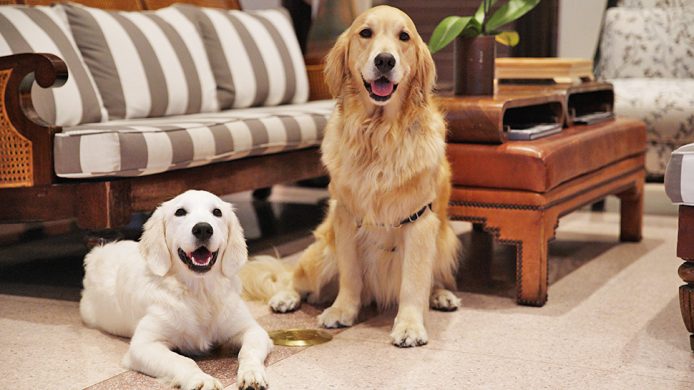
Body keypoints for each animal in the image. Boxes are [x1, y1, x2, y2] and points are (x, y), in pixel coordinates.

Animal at [81, 190, 272, 388]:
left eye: (217, 212)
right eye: (180, 212)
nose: (203, 229)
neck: (199, 292)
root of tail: (99, 250)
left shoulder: (252, 330)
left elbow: (248, 351)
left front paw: (252, 373)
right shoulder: (144, 345)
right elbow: (183, 361)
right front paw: (201, 380)